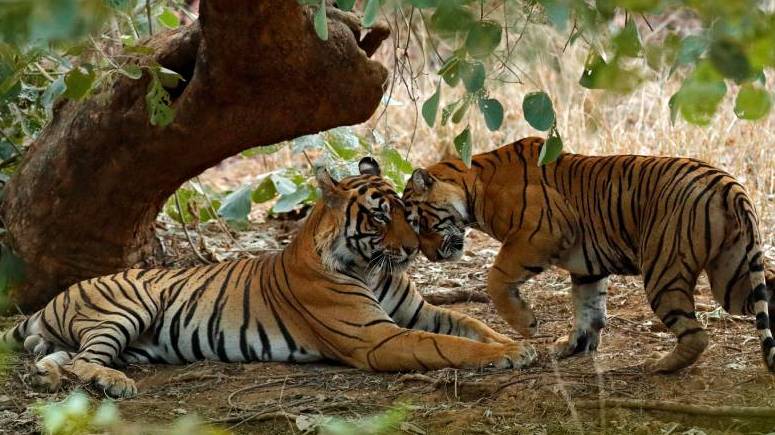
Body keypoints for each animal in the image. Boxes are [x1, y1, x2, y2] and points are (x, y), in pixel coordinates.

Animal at [0, 158, 536, 400]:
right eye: (380, 217)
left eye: (407, 211)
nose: (409, 251)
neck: (370, 267)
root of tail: (52, 301)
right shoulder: (377, 337)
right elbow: (450, 345)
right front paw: (510, 354)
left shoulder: (421, 311)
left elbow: (473, 326)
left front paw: (521, 343)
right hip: (125, 307)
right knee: (85, 361)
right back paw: (114, 383)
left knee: (60, 359)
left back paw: (49, 375)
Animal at [404, 138, 772, 372]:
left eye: (419, 222)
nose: (429, 256)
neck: (474, 185)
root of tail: (726, 182)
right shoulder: (587, 266)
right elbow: (587, 308)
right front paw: (574, 346)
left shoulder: (538, 233)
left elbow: (496, 278)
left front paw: (527, 325)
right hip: (731, 272)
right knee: (766, 292)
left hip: (664, 270)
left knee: (696, 335)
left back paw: (659, 366)